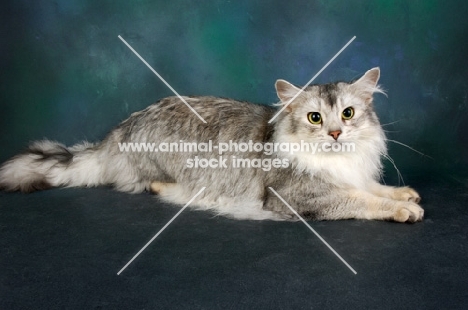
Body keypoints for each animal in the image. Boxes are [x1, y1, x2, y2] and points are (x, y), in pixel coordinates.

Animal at [0, 68, 424, 223]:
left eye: (348, 114)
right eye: (315, 118)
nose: (336, 134)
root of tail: (115, 133)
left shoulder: (354, 174)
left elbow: (370, 187)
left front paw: (401, 193)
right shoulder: (298, 196)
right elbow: (359, 199)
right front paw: (400, 209)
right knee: (150, 185)